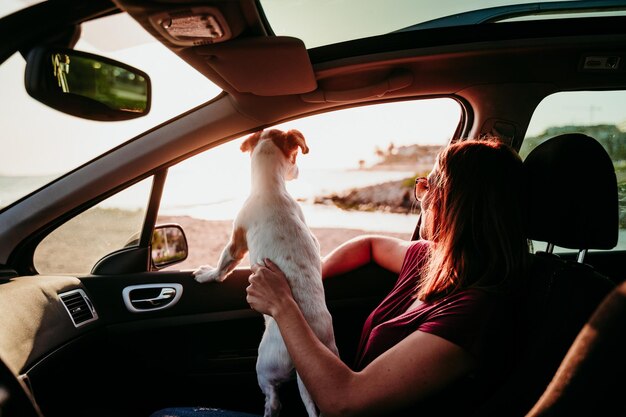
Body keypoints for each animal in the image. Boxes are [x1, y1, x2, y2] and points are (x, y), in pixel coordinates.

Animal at [193, 127, 336, 416]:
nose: (299, 171)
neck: (271, 188)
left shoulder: (236, 242)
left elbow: (223, 265)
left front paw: (207, 274)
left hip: (264, 365)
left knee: (273, 396)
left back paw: (269, 409)